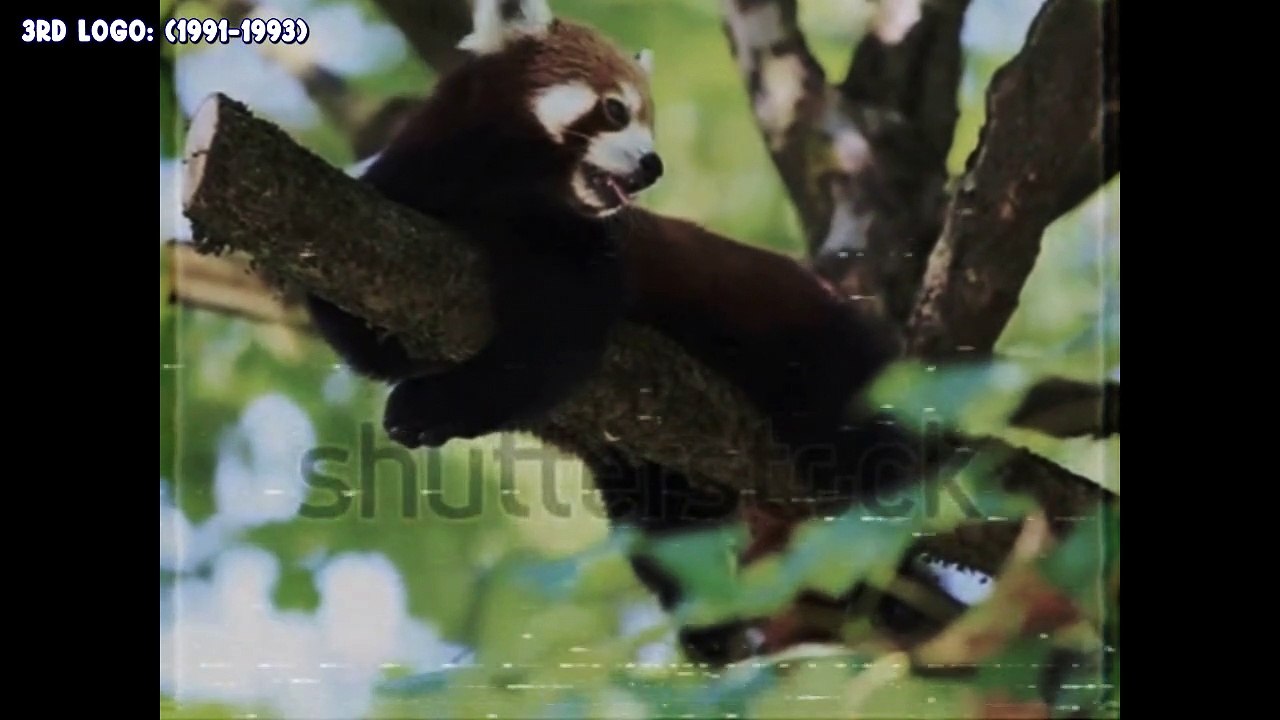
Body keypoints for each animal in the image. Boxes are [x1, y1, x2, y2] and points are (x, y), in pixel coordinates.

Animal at [305, 0, 923, 664]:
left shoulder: (588, 251)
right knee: (667, 531)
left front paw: (427, 407)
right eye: (616, 110)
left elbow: (552, 350)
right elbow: (360, 332)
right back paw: (713, 627)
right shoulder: (393, 206)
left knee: (871, 459)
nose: (653, 166)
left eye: (649, 122)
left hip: (820, 356)